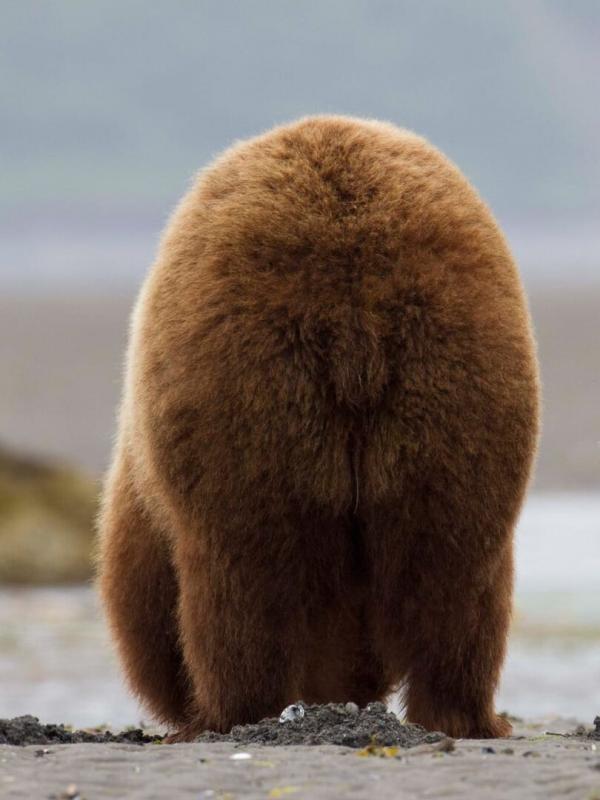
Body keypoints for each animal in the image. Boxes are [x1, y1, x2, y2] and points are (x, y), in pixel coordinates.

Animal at [97, 115, 540, 742]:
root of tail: (353, 302)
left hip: (247, 383)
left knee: (244, 574)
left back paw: (226, 713)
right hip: (458, 380)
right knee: (455, 571)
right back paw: (465, 713)